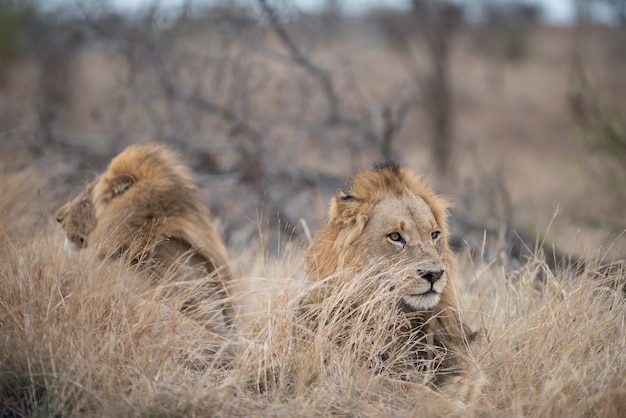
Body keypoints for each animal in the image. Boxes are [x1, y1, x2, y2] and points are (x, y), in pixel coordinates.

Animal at [302, 160, 478, 392]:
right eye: (395, 236)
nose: (434, 274)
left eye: (434, 235)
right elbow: (417, 390)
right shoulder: (349, 374)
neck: (404, 317)